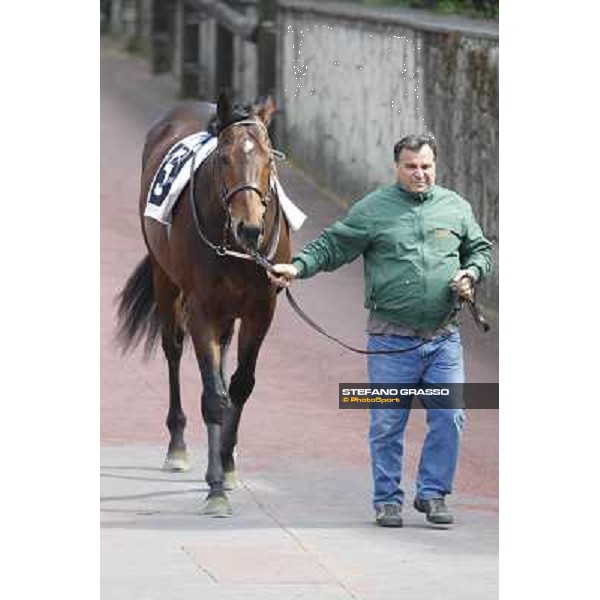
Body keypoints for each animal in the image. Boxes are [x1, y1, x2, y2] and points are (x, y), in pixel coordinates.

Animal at [116, 92, 290, 516]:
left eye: (270, 159)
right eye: (224, 158)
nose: (250, 228)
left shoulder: (262, 309)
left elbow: (240, 386)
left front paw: (227, 465)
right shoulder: (200, 308)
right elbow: (213, 397)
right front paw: (215, 489)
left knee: (223, 358)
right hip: (165, 279)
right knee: (173, 349)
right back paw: (177, 447)